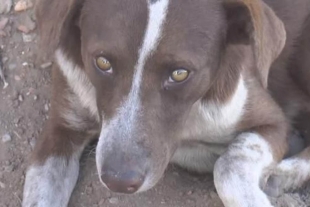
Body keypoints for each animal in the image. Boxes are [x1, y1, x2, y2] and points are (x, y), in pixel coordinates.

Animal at [21, 0, 310, 207]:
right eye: (102, 61)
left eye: (180, 73)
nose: (118, 181)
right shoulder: (63, 128)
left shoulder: (272, 122)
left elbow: (228, 166)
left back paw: (285, 172)